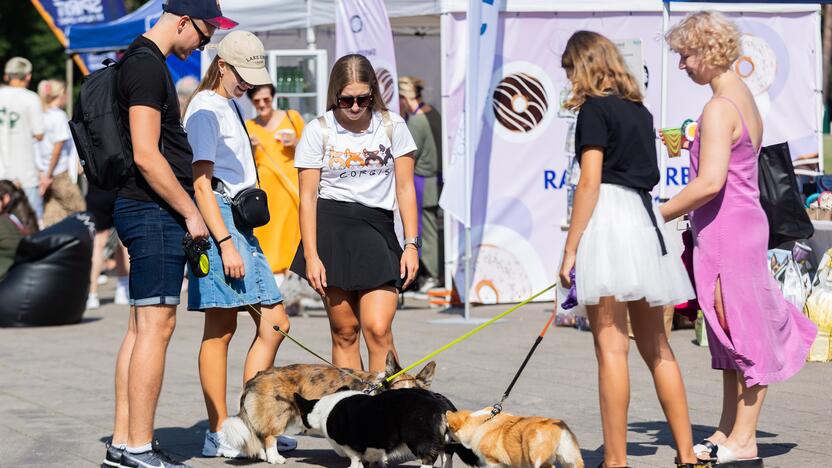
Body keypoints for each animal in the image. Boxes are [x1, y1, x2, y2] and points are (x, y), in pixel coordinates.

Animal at [224, 352, 438, 462]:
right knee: (268, 436)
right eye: (397, 393)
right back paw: (275, 458)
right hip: (279, 414)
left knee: (258, 436)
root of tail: (257, 377)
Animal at [296, 388, 484, 468]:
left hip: (419, 440)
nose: (299, 429)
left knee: (429, 459)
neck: (322, 410)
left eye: (301, 415)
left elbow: (355, 459)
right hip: (445, 441)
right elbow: (376, 457)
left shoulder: (349, 446)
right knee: (448, 457)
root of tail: (439, 400)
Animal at [448, 406, 584, 468]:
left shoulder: (493, 462)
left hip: (536, 458)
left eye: (448, 429)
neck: (481, 422)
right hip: (570, 457)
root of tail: (556, 429)